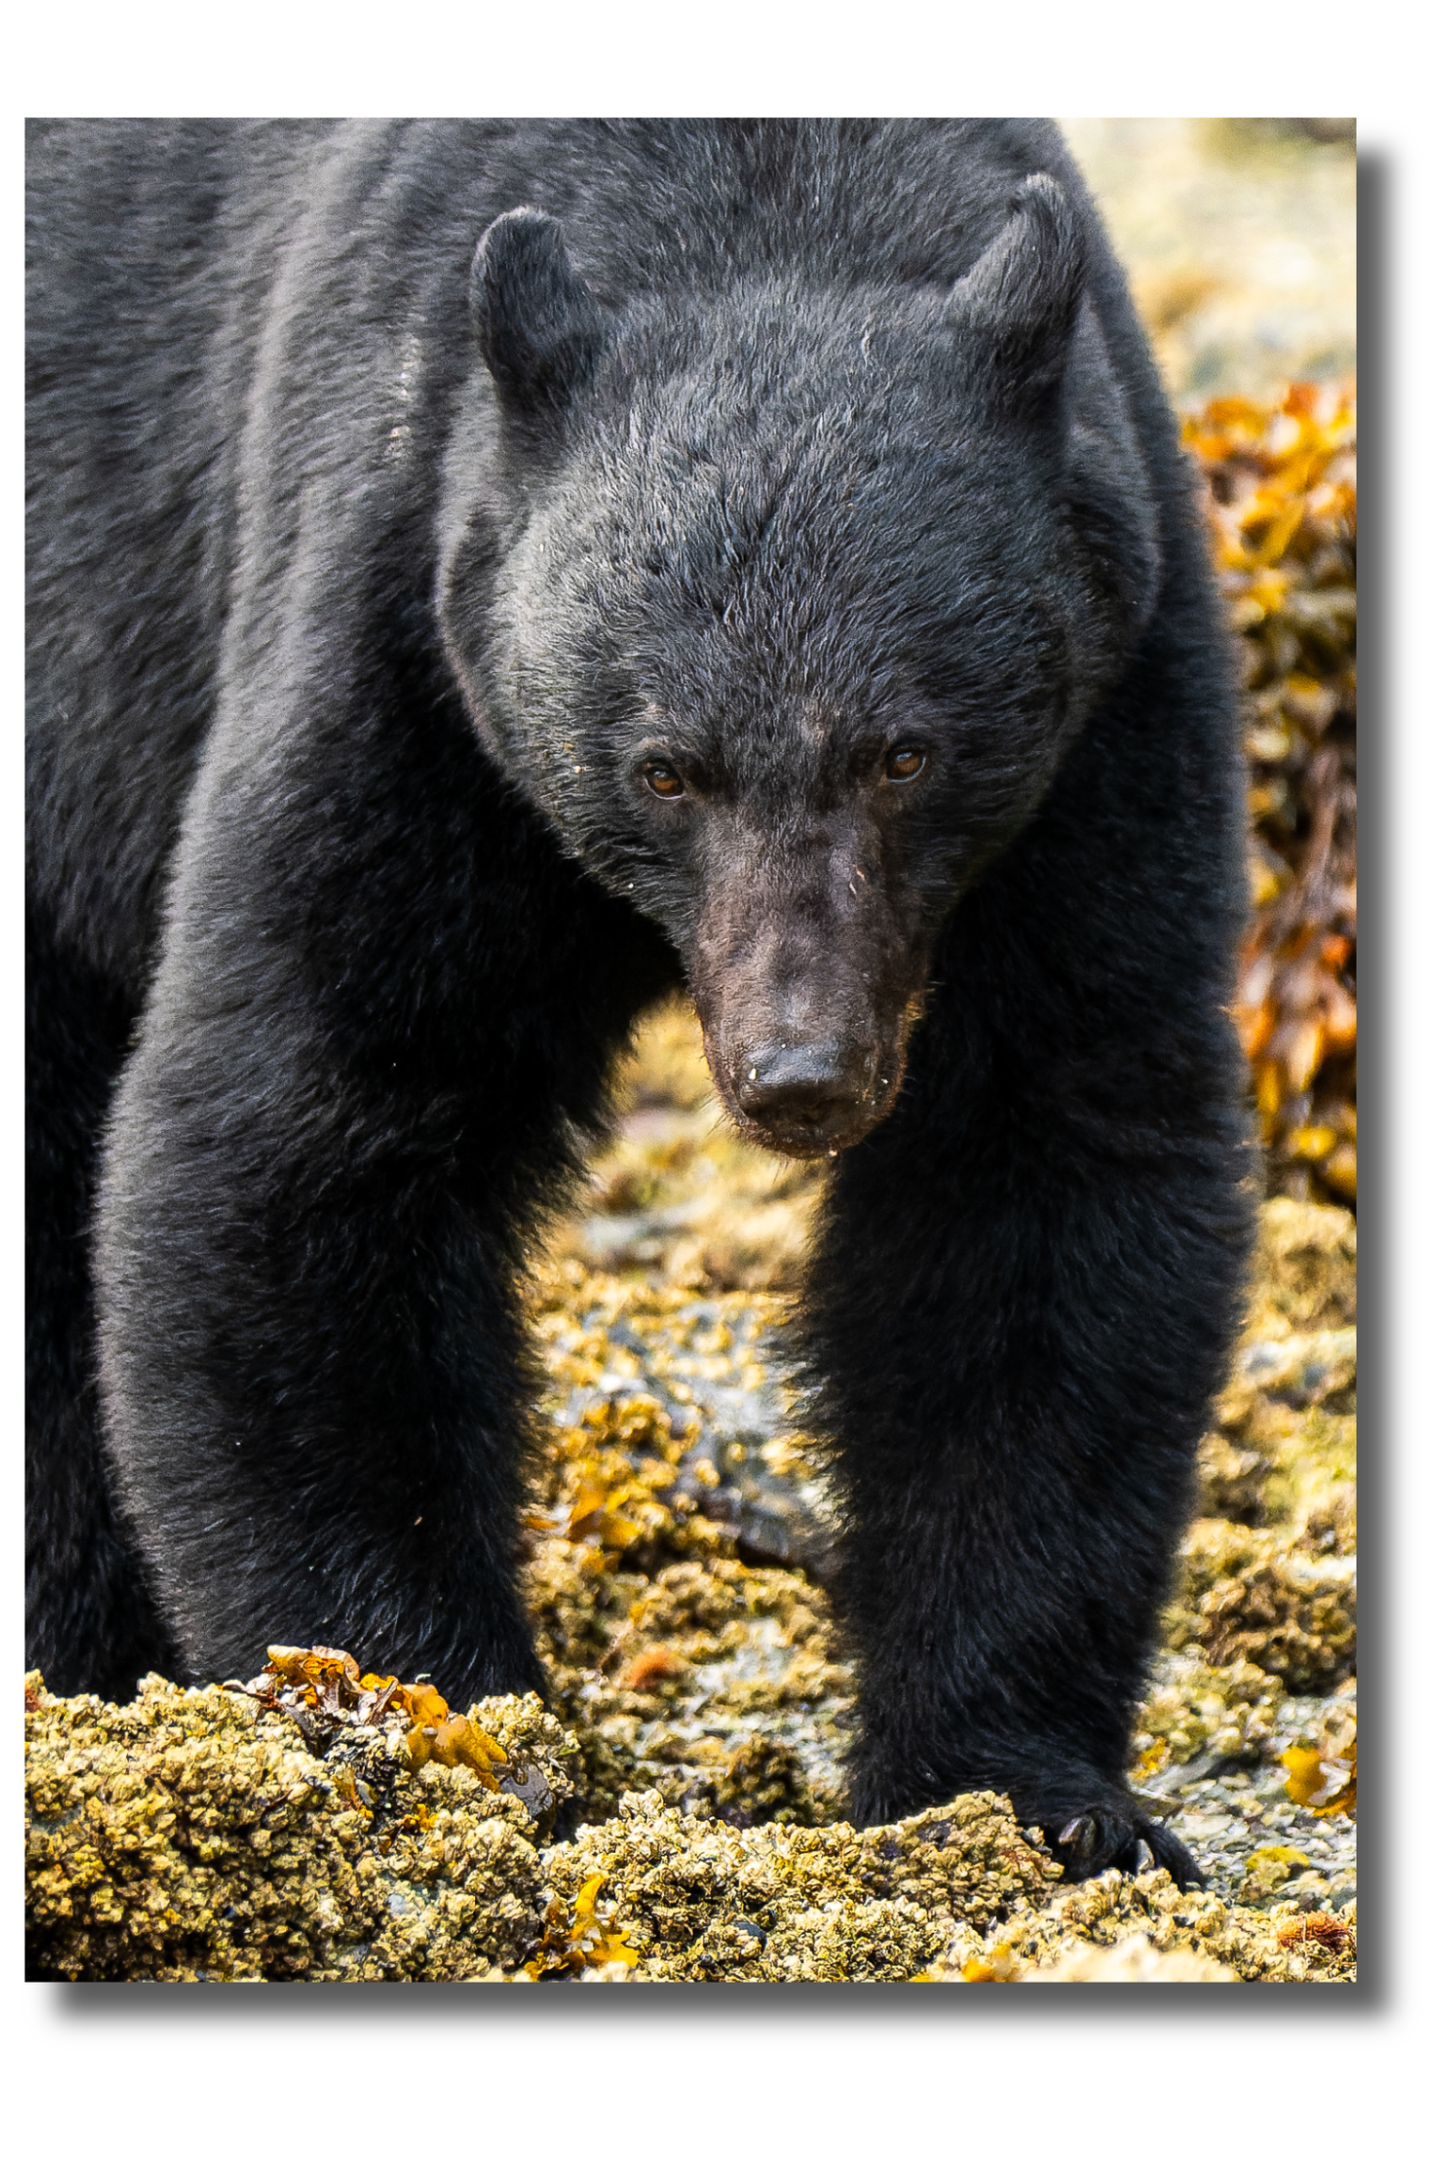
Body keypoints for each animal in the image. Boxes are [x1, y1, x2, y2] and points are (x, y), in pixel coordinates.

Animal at [27, 119, 1253, 1887]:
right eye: (664, 767)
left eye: (904, 752)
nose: (801, 1072)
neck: (763, 208)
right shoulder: (405, 632)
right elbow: (305, 1121)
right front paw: (427, 1727)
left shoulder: (1109, 696)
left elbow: (1047, 1154)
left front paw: (1025, 1789)